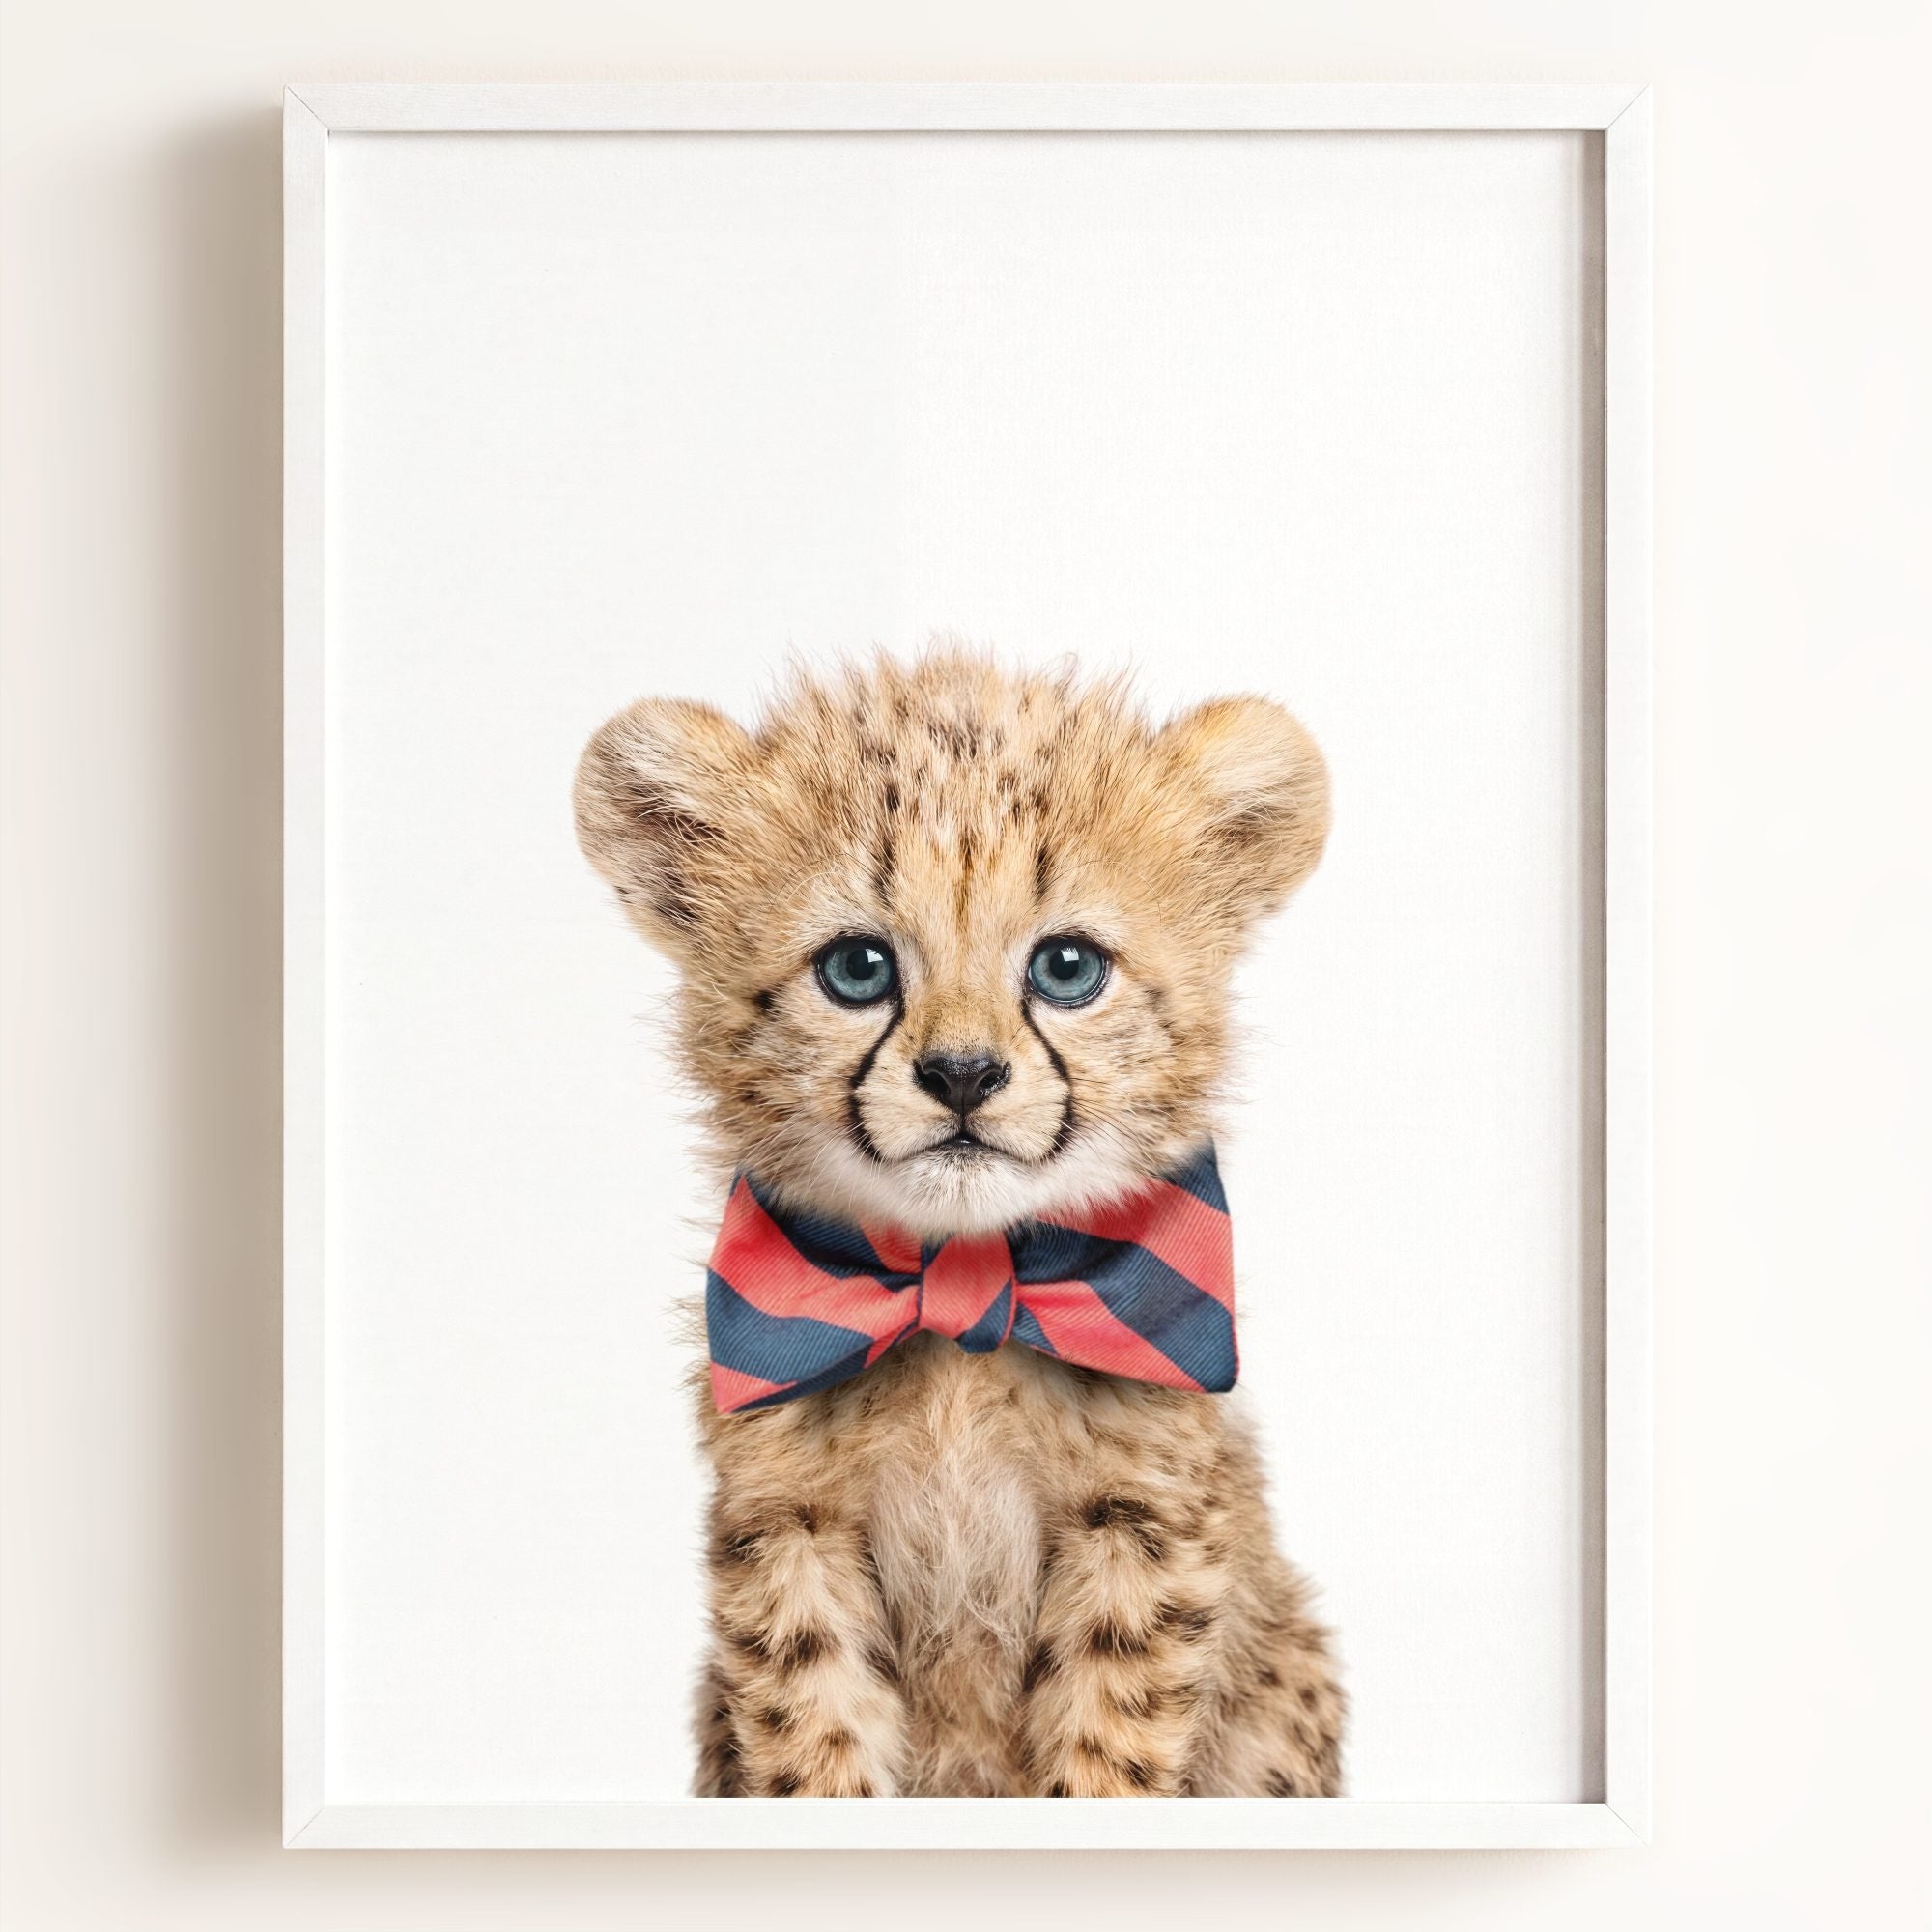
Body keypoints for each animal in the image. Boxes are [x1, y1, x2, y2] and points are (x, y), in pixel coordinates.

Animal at [574, 647, 1344, 1798]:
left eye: (1067, 967)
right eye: (857, 967)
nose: (963, 1074)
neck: (964, 1300)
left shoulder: (1140, 1523)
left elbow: (1108, 1745)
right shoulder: (788, 1525)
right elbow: (813, 1737)